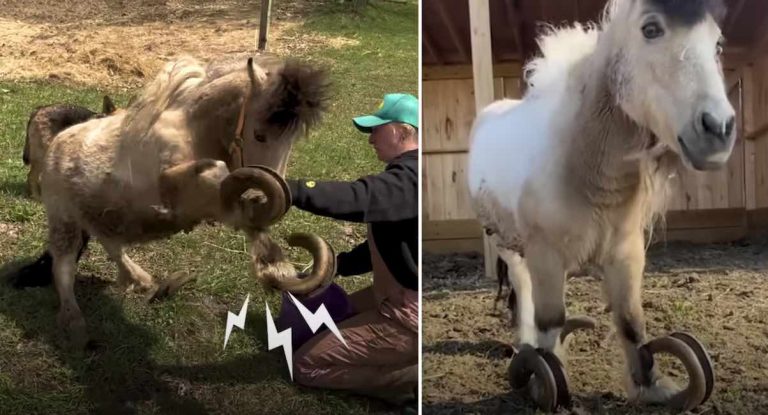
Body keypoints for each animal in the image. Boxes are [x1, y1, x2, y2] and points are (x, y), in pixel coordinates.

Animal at [467, 0, 734, 411]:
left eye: (718, 43)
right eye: (651, 29)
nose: (718, 129)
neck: (583, 169)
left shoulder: (626, 253)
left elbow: (630, 320)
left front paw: (651, 385)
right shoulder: (546, 256)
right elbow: (550, 320)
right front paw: (544, 380)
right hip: (507, 244)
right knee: (523, 288)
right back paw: (524, 346)